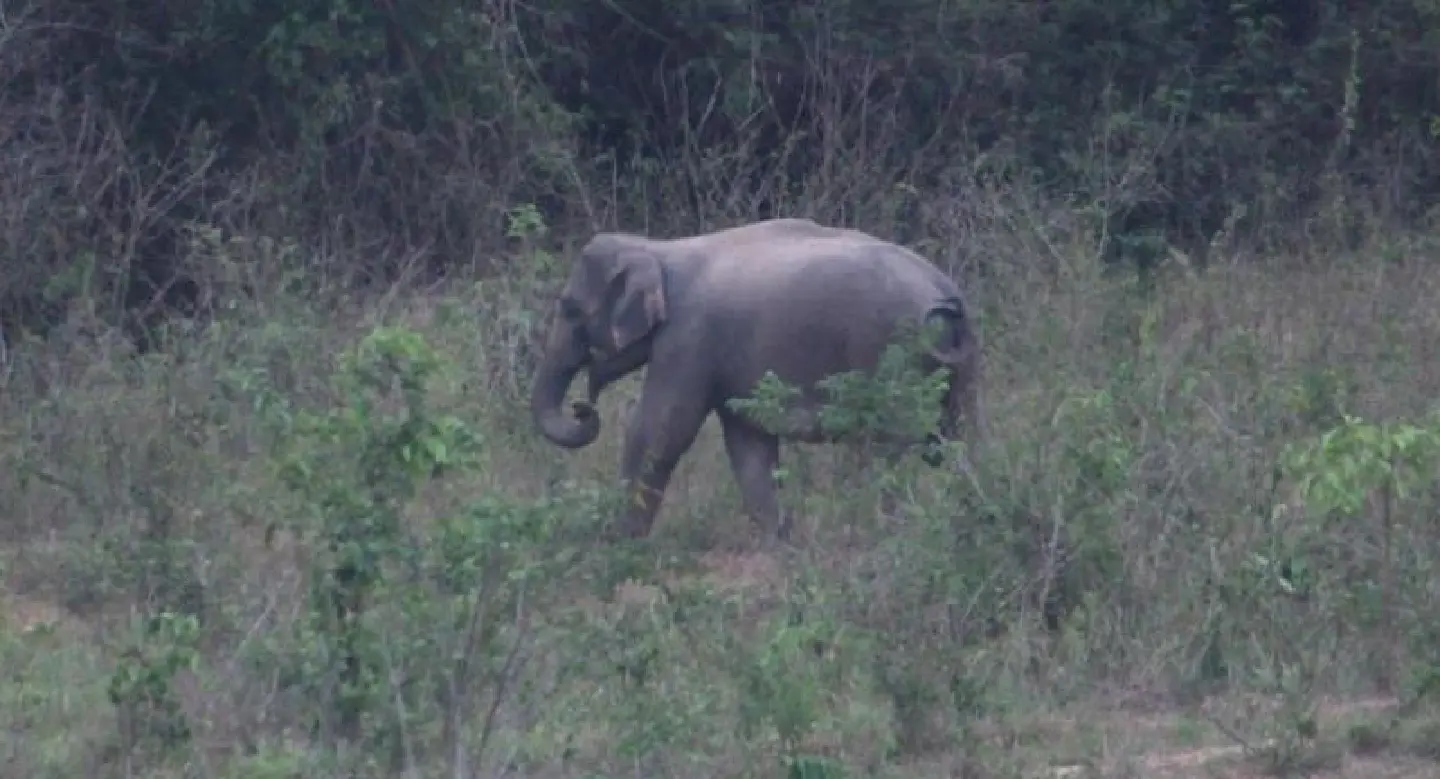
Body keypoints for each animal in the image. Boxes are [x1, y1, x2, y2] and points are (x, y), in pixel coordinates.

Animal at [529, 217, 984, 543]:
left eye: (569, 308)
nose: (583, 406)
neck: (660, 248)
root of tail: (945, 293)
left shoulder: (689, 337)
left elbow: (661, 428)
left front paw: (619, 541)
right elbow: (749, 441)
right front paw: (777, 542)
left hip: (890, 355)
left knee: (884, 446)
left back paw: (883, 531)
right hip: (964, 367)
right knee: (960, 437)